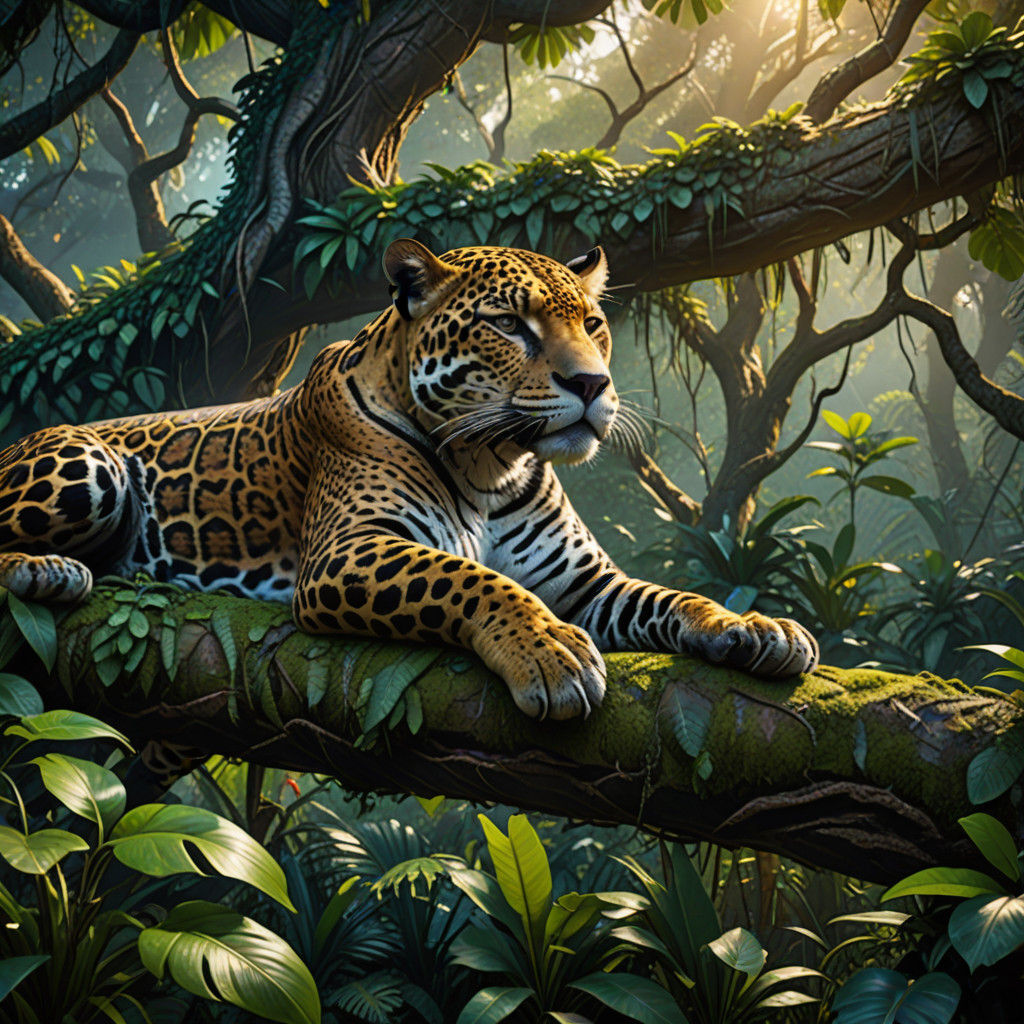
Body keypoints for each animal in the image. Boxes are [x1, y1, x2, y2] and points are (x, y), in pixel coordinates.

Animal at [0, 240, 818, 720]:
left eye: (593, 323)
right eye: (509, 324)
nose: (593, 384)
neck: (494, 465)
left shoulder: (587, 586)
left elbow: (672, 598)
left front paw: (755, 627)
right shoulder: (350, 551)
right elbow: (477, 581)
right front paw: (548, 653)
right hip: (88, 464)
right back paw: (47, 570)